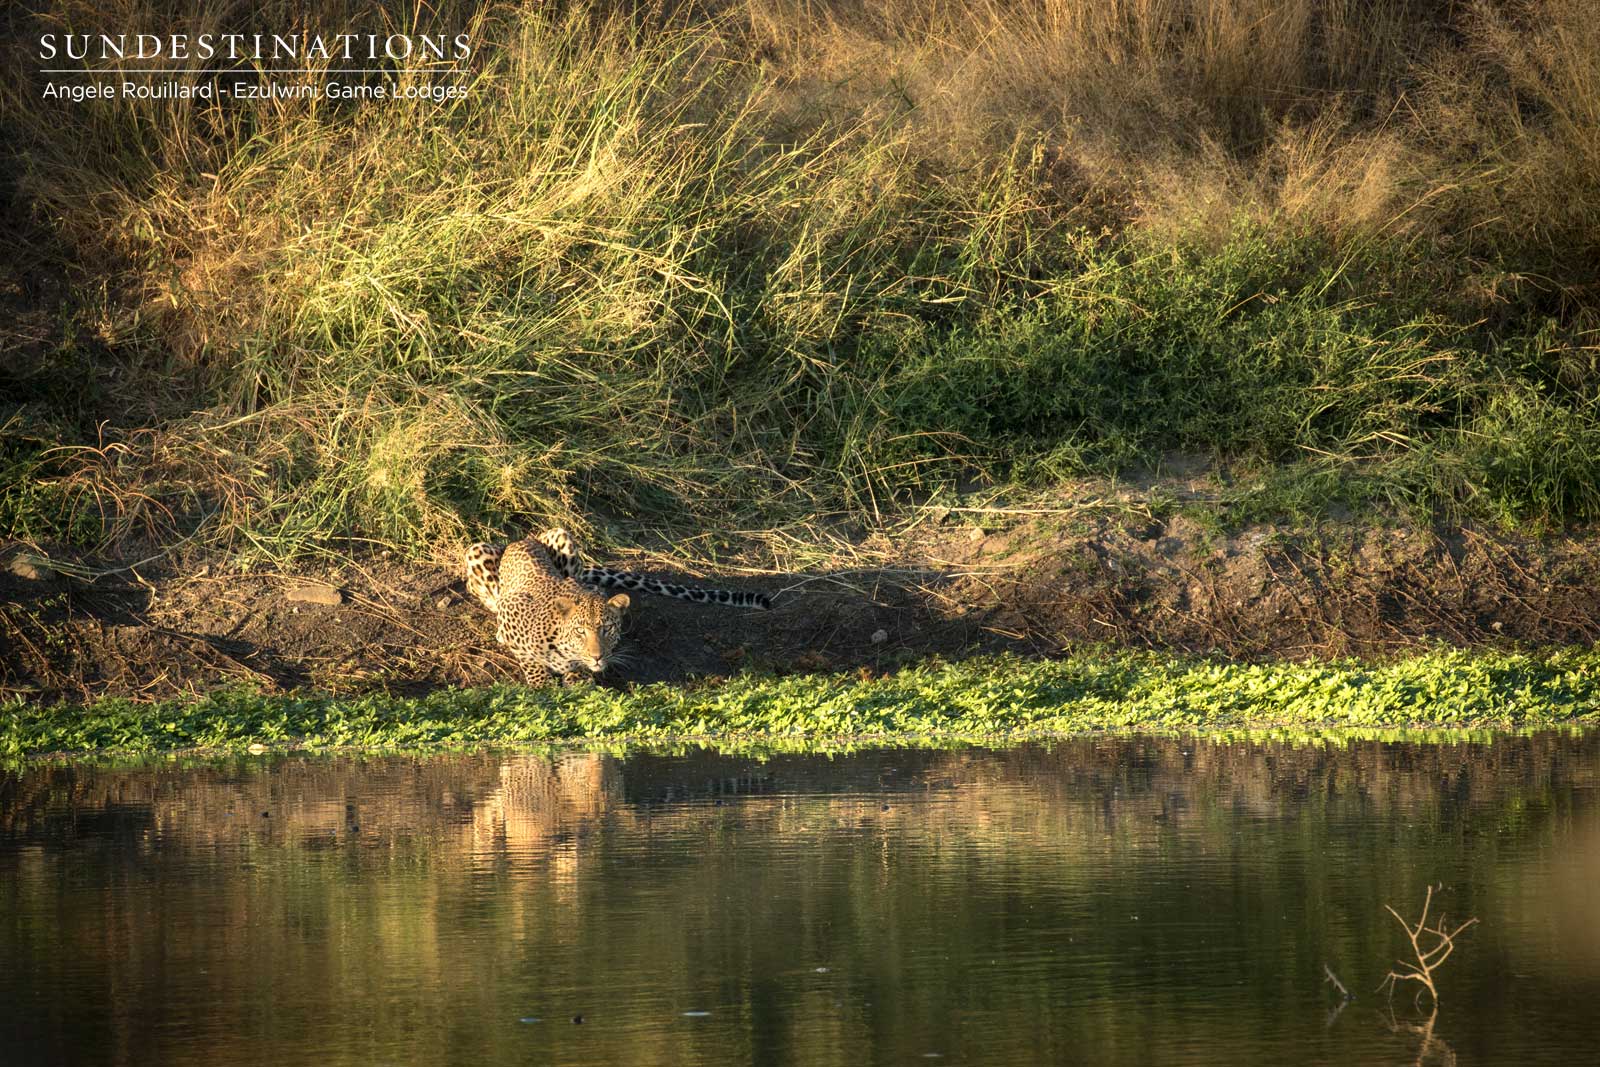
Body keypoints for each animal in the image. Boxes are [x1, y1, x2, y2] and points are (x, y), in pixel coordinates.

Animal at [465, 527, 771, 686]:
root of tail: (520, 538)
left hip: (562, 536)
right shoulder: (511, 612)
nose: (598, 657)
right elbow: (530, 660)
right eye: (580, 631)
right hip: (476, 551)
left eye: (608, 629)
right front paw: (542, 681)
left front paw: (578, 676)